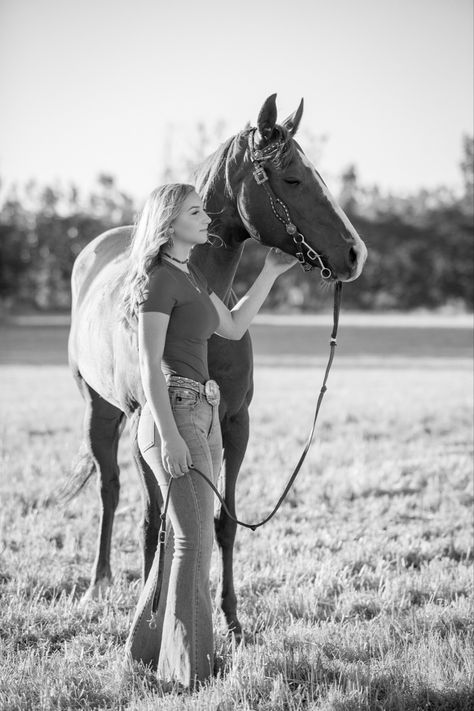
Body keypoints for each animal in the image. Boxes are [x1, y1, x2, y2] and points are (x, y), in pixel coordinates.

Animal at [65, 92, 366, 644]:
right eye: (293, 178)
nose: (355, 254)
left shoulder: (235, 422)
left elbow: (224, 522)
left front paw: (231, 619)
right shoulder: (147, 424)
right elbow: (153, 522)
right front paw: (151, 617)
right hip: (101, 410)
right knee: (109, 490)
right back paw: (98, 585)